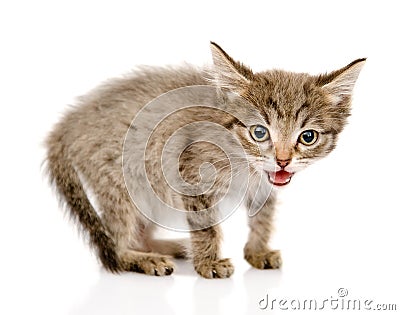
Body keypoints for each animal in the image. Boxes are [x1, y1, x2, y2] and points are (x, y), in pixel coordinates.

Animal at [45, 41, 364, 278]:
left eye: (308, 137)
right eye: (259, 132)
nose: (283, 160)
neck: (244, 160)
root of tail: (69, 122)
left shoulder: (264, 185)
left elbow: (263, 216)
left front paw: (257, 252)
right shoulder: (190, 172)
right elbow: (206, 226)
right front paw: (208, 263)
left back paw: (165, 247)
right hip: (122, 179)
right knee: (114, 245)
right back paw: (142, 258)